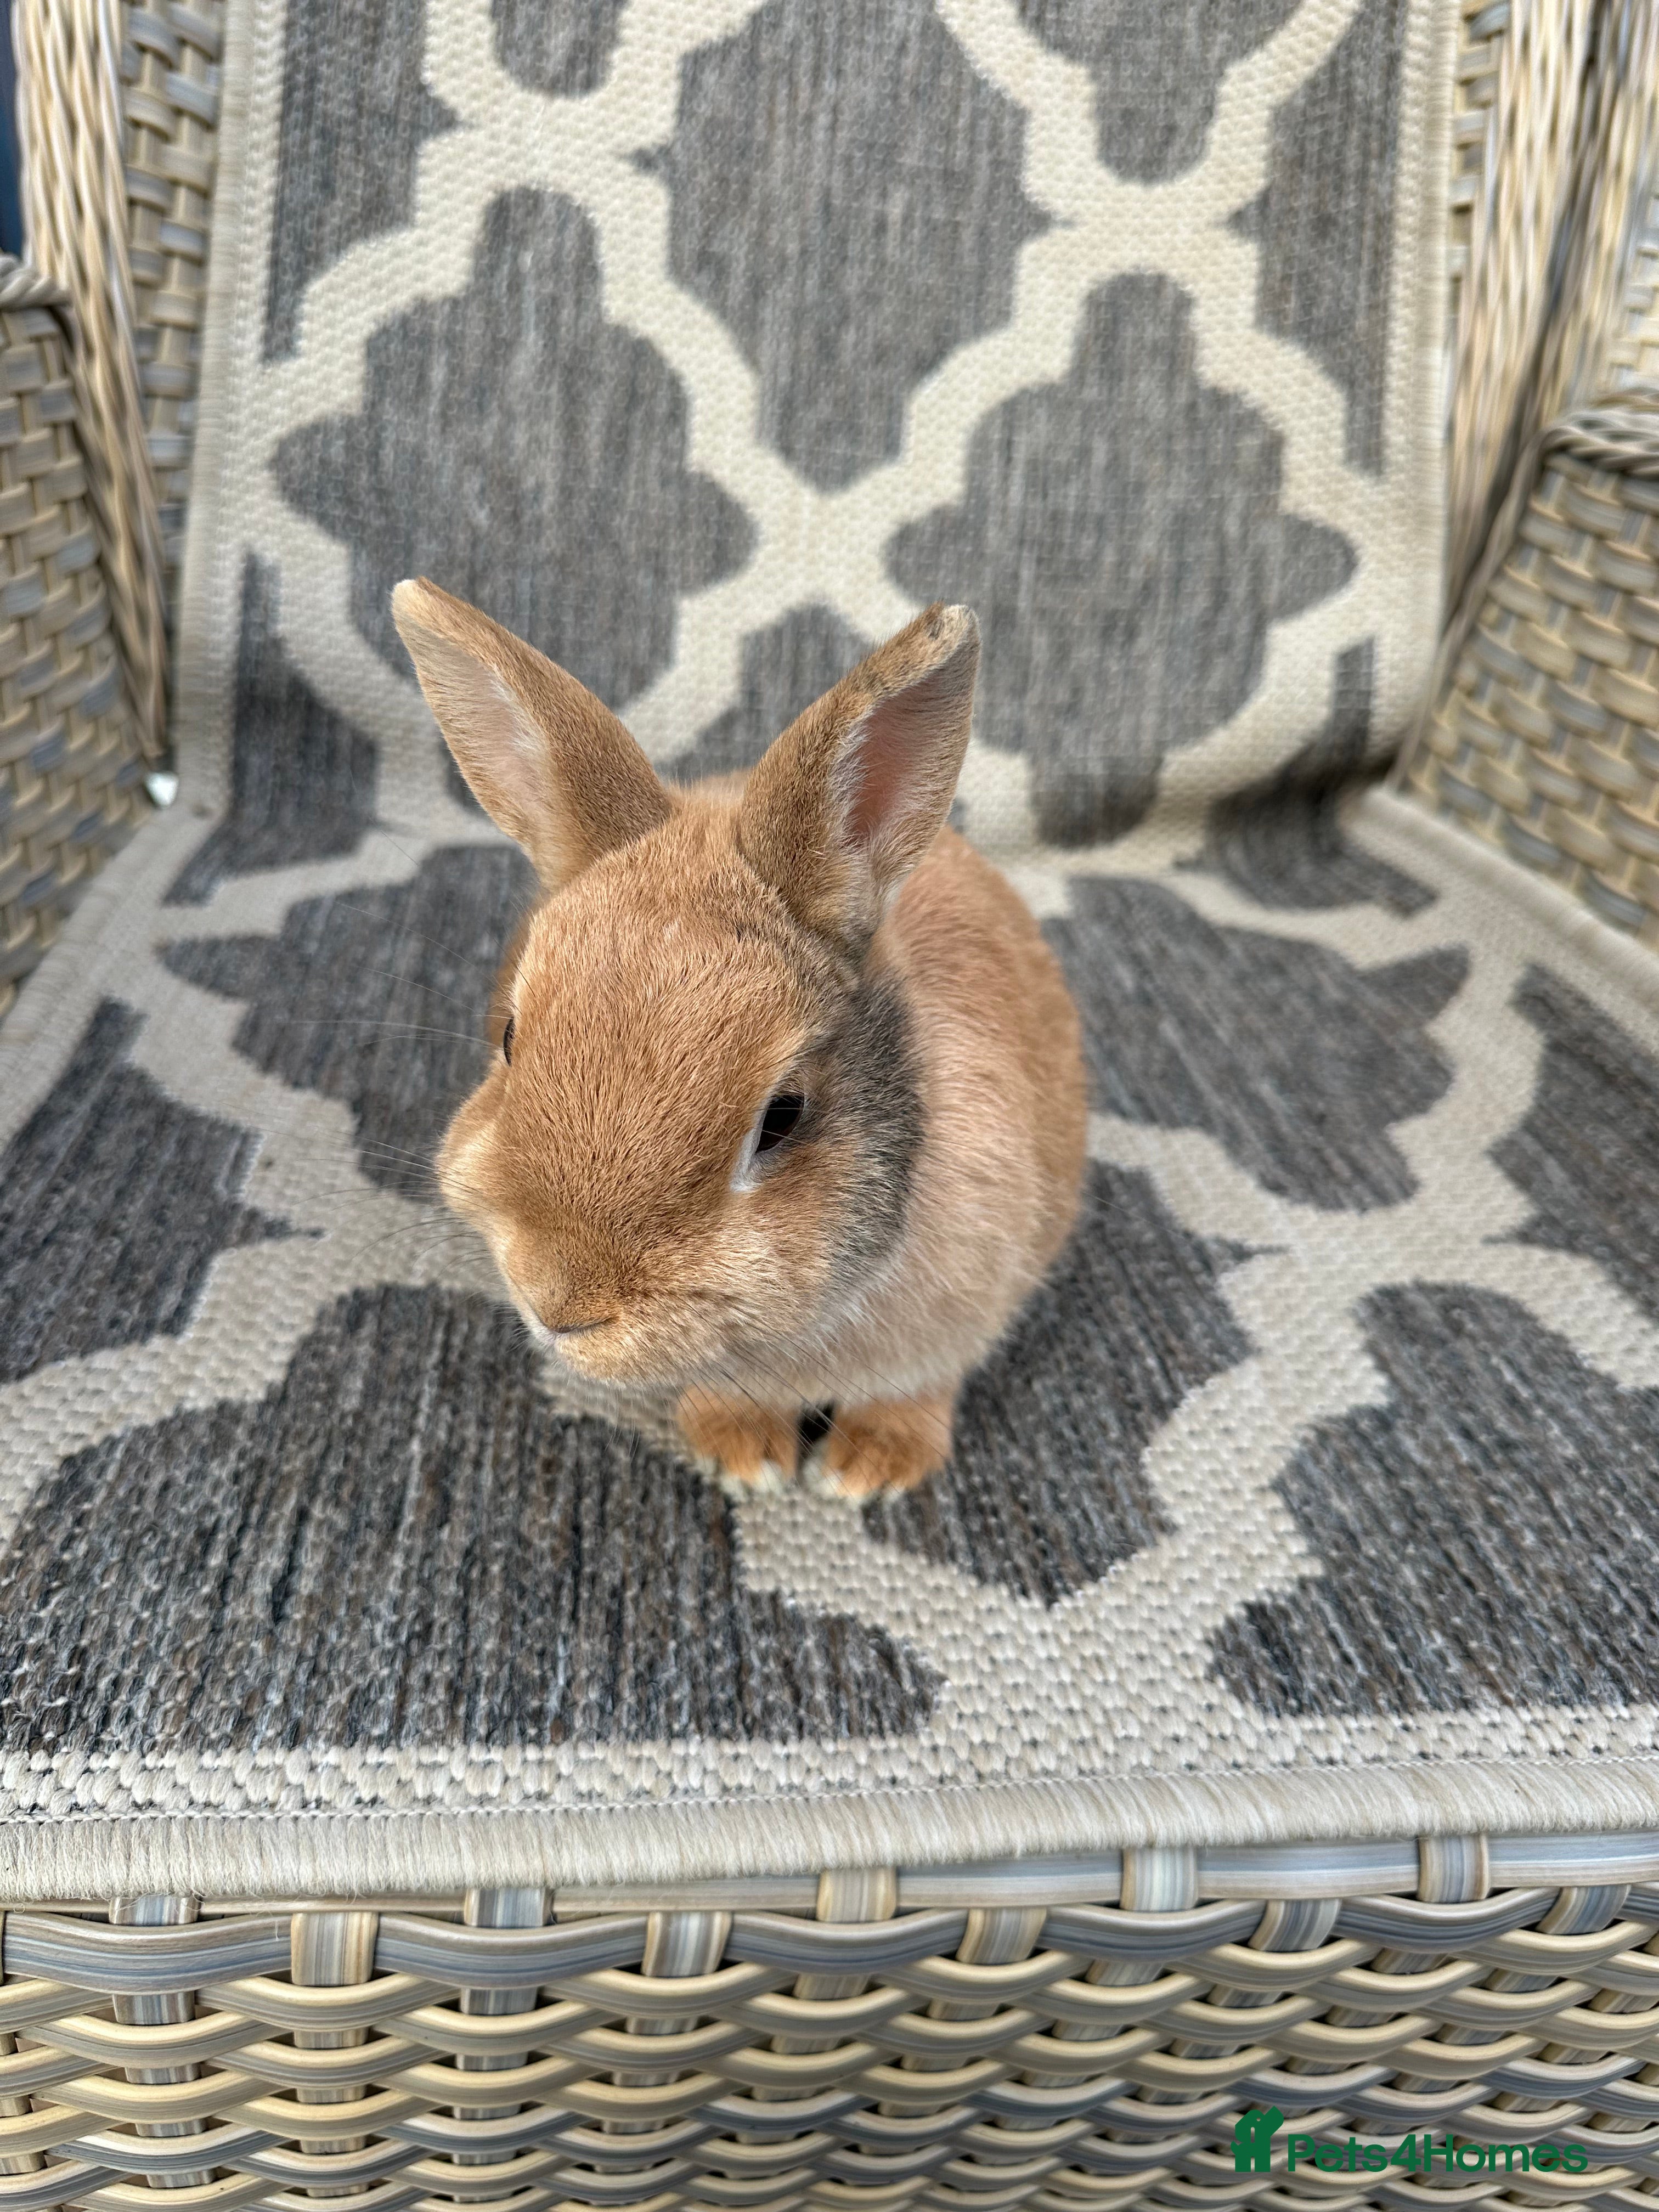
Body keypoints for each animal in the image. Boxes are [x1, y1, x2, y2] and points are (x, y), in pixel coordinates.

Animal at [392, 578, 1087, 1495]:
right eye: (510, 1038)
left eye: (782, 1118)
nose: (559, 1306)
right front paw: (742, 1453)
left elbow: (918, 1389)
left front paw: (872, 1468)